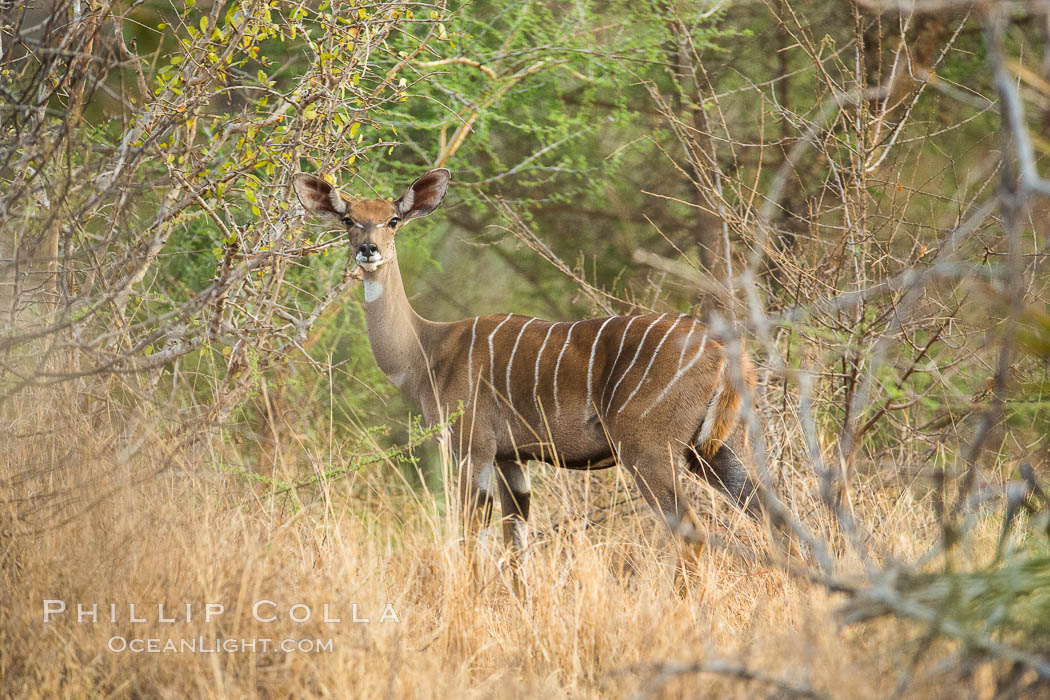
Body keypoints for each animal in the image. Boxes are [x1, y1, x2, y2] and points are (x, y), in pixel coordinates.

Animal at [291, 172, 760, 566]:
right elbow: (515, 544)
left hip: (648, 449)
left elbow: (472, 539)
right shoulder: (511, 459)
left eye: (392, 220)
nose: (368, 250)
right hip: (713, 451)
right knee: (766, 513)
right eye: (349, 220)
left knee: (692, 531)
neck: (429, 351)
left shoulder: (473, 448)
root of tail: (722, 350)